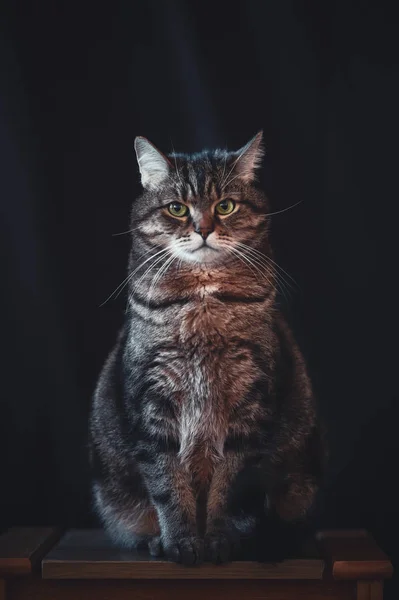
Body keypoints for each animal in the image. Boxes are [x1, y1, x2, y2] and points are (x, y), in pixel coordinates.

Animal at [88, 132, 324, 568]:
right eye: (177, 208)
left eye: (225, 206)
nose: (202, 229)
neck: (203, 302)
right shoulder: (152, 402)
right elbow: (169, 486)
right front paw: (180, 542)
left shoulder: (249, 405)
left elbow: (227, 489)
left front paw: (217, 541)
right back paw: (154, 541)